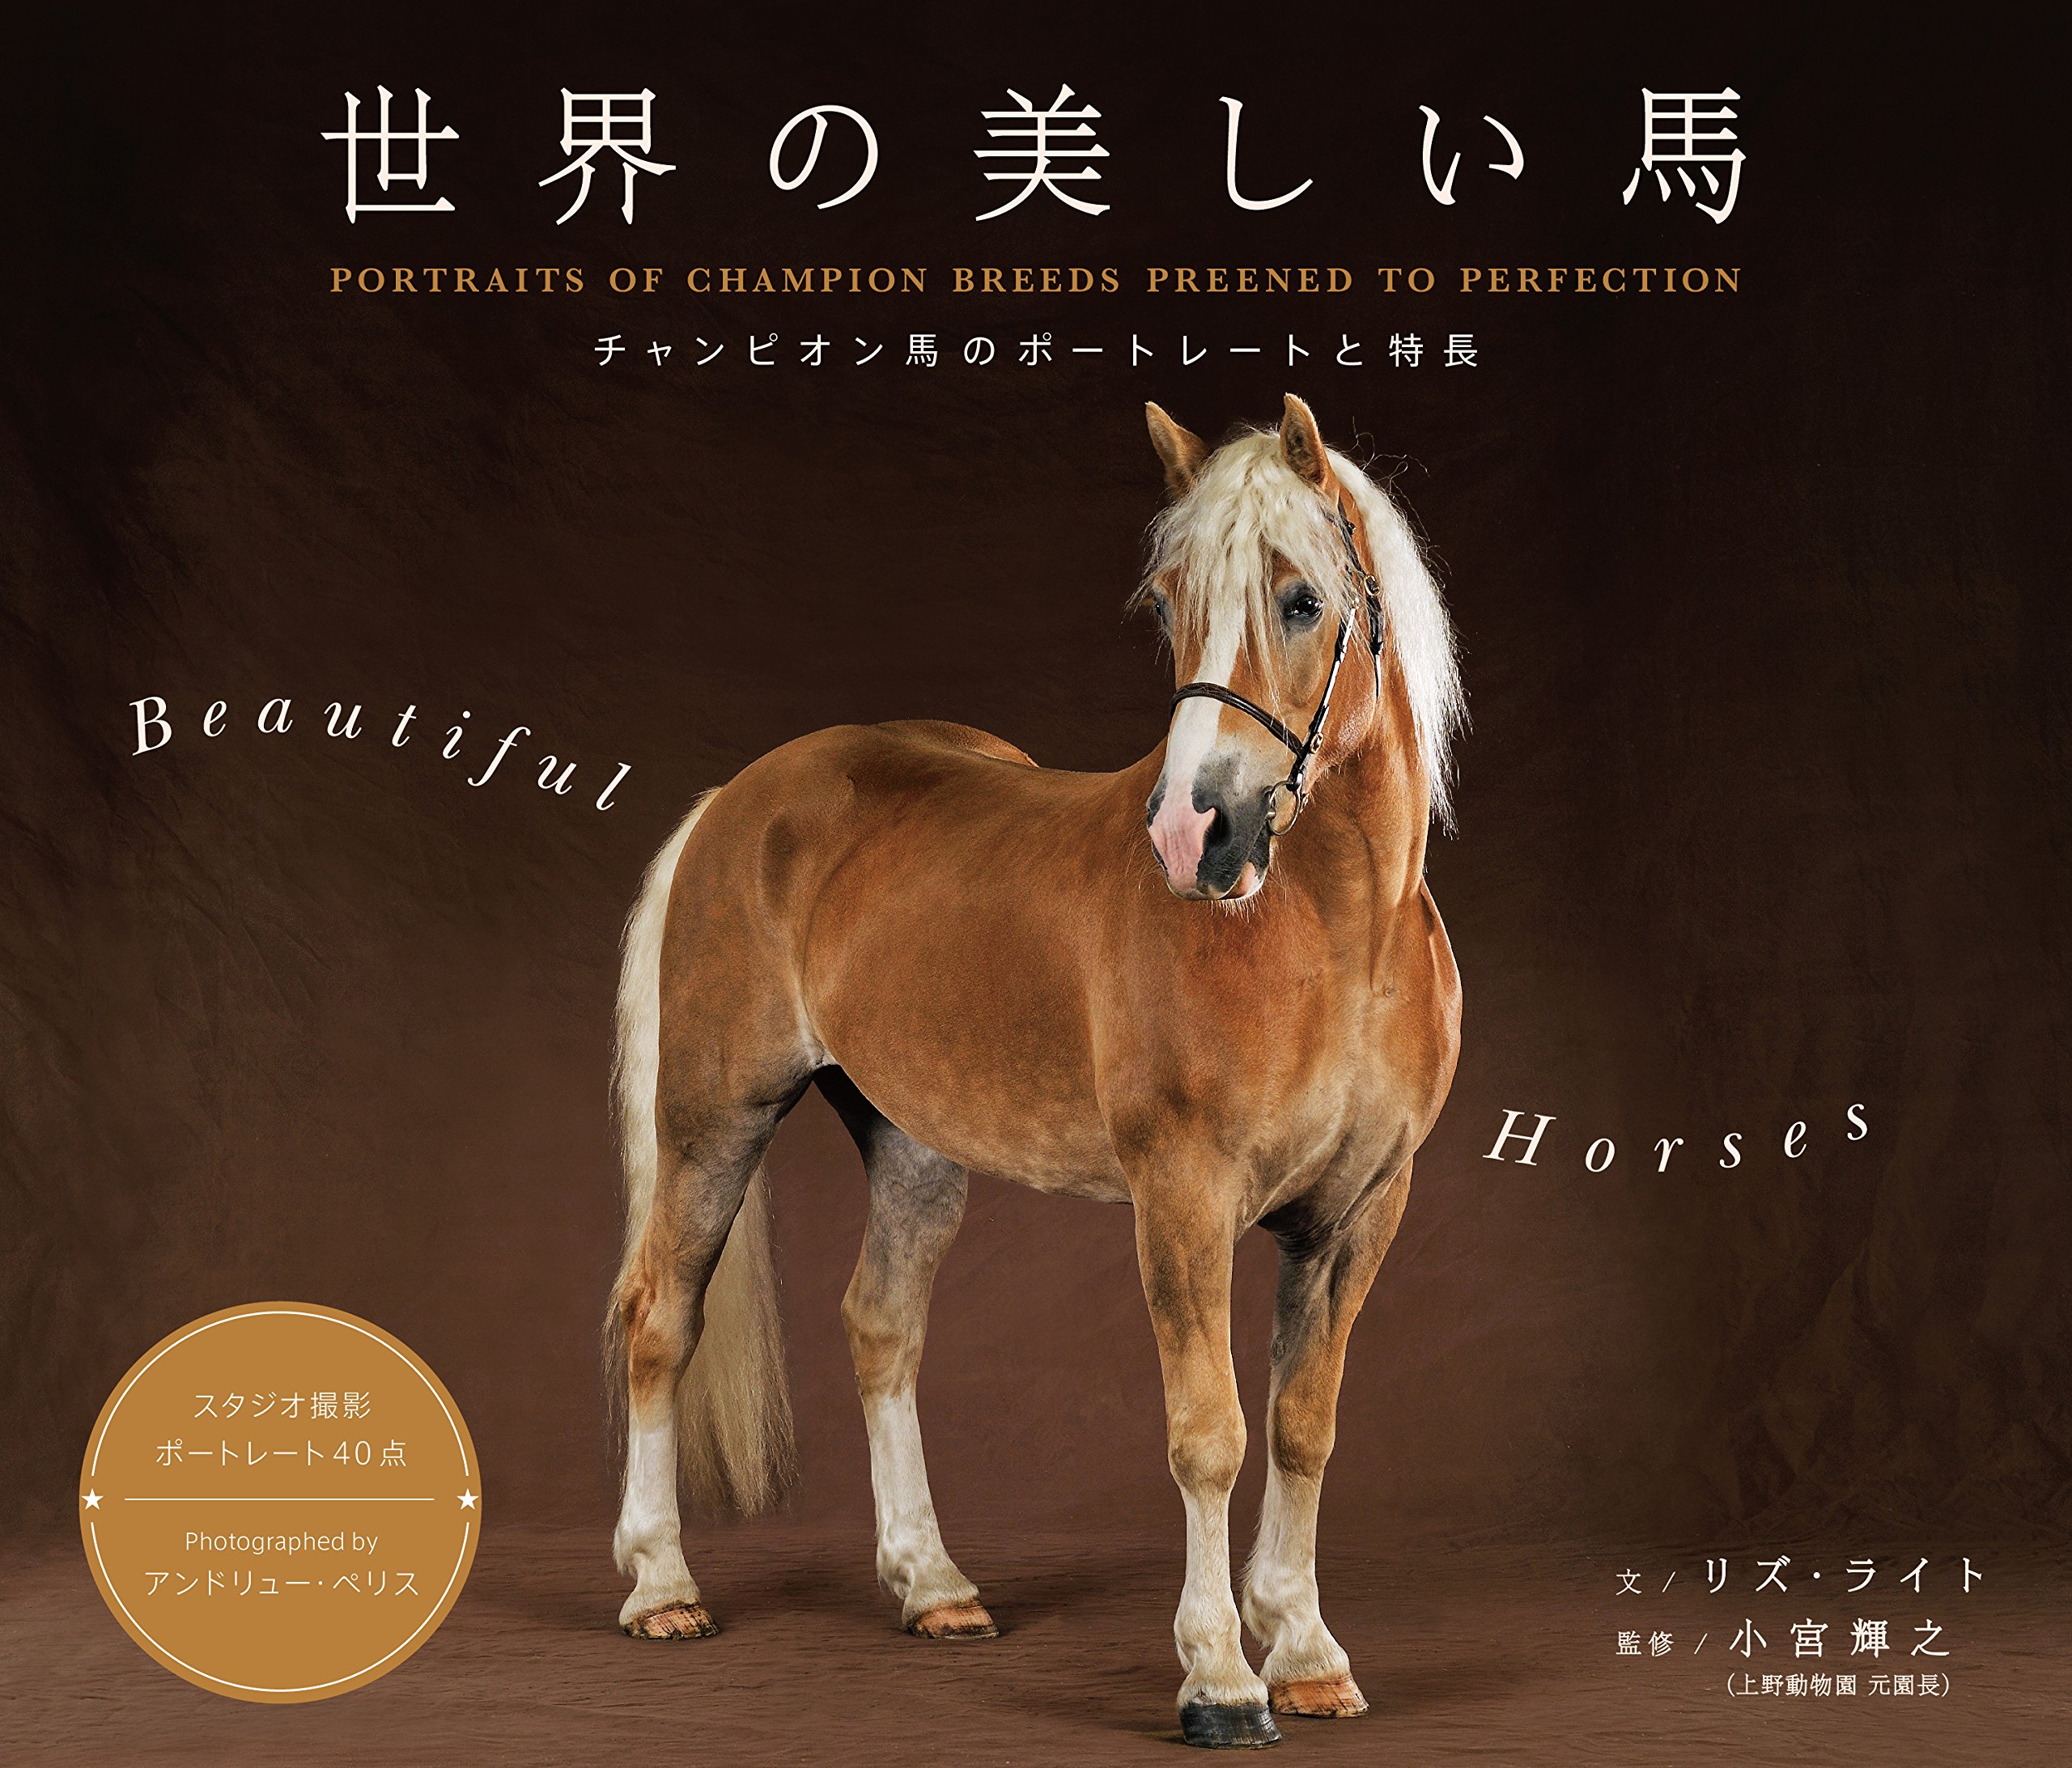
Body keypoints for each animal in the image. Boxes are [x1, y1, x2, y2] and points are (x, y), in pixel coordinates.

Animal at [604, 394, 1464, 1749]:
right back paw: (661, 1588)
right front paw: (1221, 1678)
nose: (1194, 834)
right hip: (714, 1122)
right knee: (659, 1317)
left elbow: (1303, 1427)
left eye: (1300, 599)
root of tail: (741, 797)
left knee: (881, 1326)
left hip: (913, 1144)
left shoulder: (1361, 1211)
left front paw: (1306, 1653)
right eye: (1168, 602)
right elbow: (1210, 1433)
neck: (1337, 937)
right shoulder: (1184, 1197)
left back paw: (935, 1586)